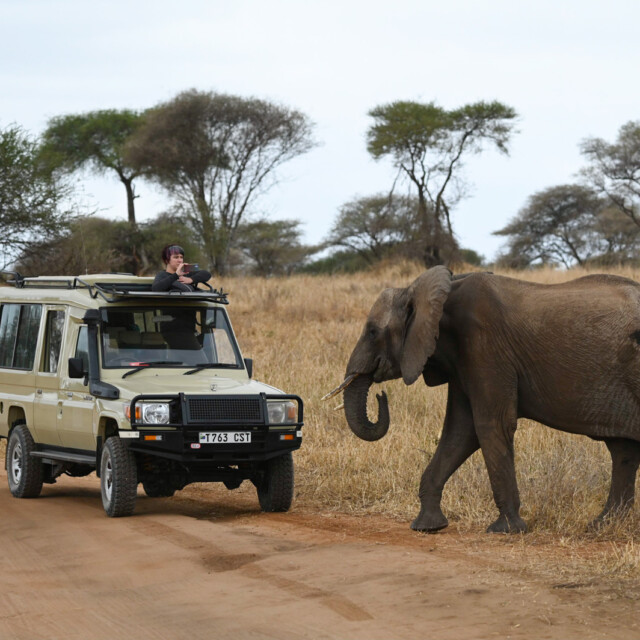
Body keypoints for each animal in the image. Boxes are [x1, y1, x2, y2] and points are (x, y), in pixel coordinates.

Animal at [326, 266, 640, 533]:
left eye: (372, 332)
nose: (381, 395)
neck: (437, 291)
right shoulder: (463, 360)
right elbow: (460, 432)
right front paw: (427, 527)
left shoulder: (484, 346)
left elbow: (491, 424)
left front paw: (506, 530)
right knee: (623, 451)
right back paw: (602, 526)